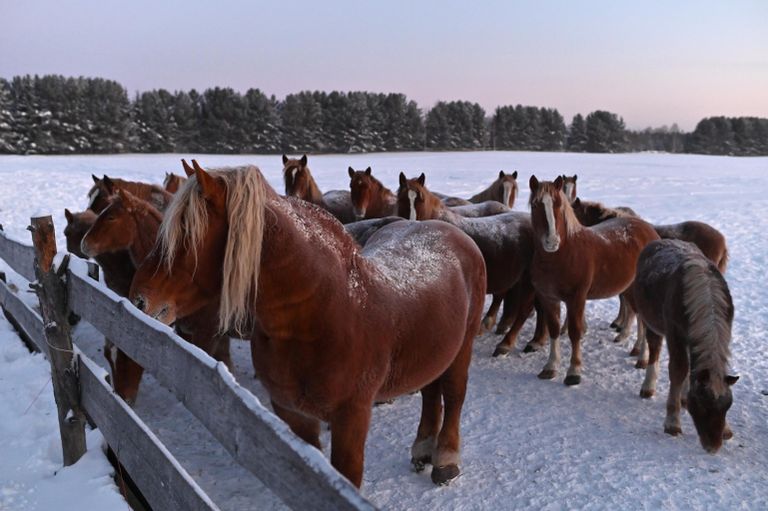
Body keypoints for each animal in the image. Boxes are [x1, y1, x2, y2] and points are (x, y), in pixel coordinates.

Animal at [129, 160, 486, 487]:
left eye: (187, 233)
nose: (139, 299)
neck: (322, 315)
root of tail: (449, 231)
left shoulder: (351, 418)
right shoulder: (292, 414)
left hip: (462, 347)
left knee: (454, 395)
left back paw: (445, 460)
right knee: (430, 391)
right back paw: (423, 448)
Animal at [396, 172, 543, 356]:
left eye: (420, 200)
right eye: (401, 199)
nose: (411, 223)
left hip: (529, 282)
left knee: (525, 309)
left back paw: (506, 343)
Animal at [528, 175, 659, 385]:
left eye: (558, 204)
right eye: (535, 205)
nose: (552, 241)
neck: (563, 254)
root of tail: (648, 229)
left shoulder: (576, 299)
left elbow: (575, 332)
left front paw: (573, 372)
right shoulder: (548, 298)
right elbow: (554, 330)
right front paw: (550, 367)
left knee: (645, 323)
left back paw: (643, 359)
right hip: (630, 290)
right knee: (639, 318)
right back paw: (637, 351)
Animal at [633, 239, 738, 453]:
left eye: (727, 406)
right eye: (702, 405)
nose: (713, 447)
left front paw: (727, 429)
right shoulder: (675, 334)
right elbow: (678, 370)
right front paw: (672, 422)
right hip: (652, 322)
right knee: (654, 348)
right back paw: (648, 385)